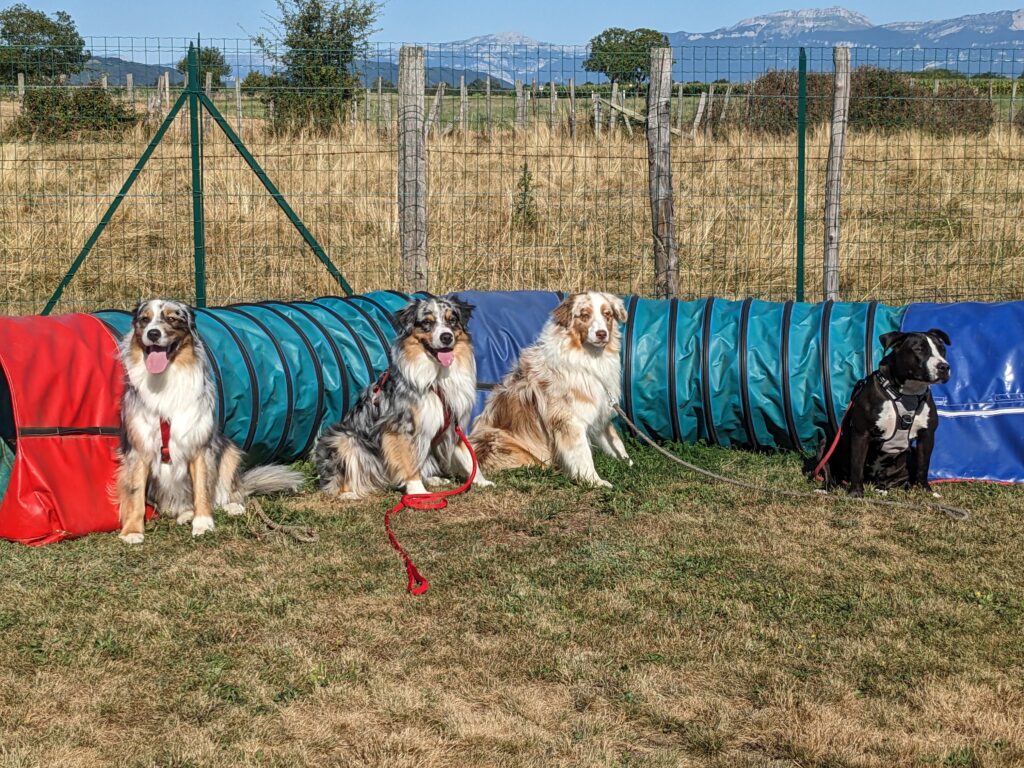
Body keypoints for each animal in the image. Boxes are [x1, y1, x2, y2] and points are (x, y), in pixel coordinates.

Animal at [815, 329, 950, 499]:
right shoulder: (861, 433)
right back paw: (826, 488)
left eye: (942, 350)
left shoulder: (927, 435)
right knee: (828, 472)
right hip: (825, 445)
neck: (907, 394)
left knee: (894, 479)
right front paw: (856, 493)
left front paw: (925, 491)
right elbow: (857, 466)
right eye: (919, 349)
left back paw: (883, 488)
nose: (944, 367)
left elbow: (923, 466)